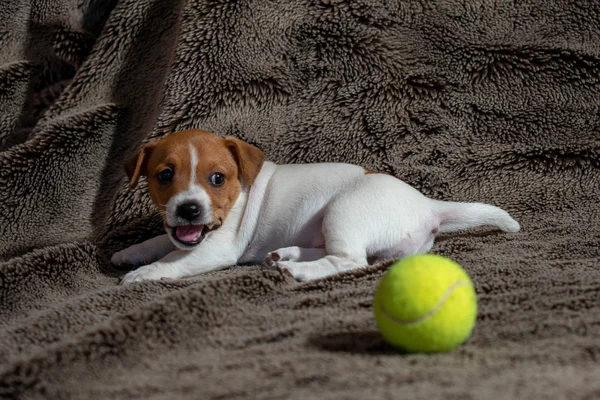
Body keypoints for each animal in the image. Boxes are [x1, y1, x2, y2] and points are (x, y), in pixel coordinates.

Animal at [113, 129, 520, 284]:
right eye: (165, 175)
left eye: (217, 178)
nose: (189, 210)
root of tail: (428, 205)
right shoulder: (180, 232)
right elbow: (160, 241)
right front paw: (131, 252)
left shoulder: (216, 248)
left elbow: (175, 258)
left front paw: (142, 274)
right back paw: (285, 255)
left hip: (345, 212)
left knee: (351, 261)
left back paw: (298, 270)